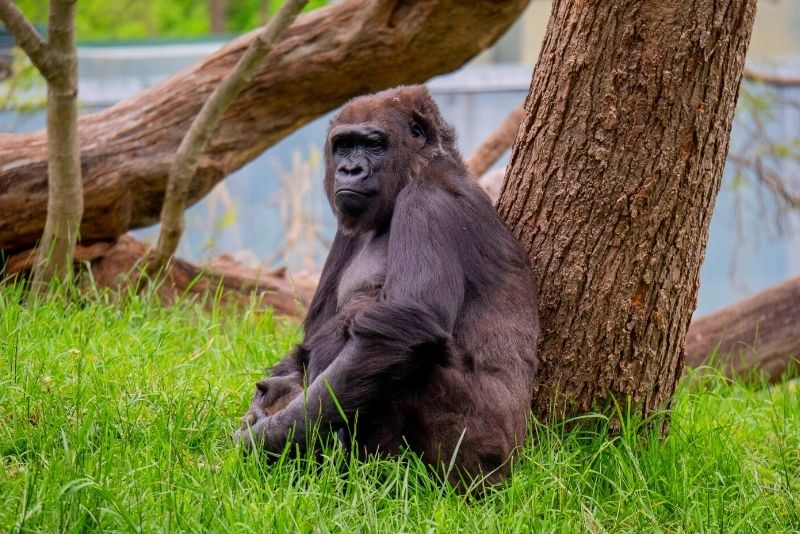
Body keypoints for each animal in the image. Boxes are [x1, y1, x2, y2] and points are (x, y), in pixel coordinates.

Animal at [236, 85, 536, 490]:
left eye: (373, 145)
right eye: (343, 146)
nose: (349, 170)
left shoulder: (428, 203)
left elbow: (402, 326)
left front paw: (265, 438)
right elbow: (311, 339)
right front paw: (268, 400)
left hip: (486, 460)